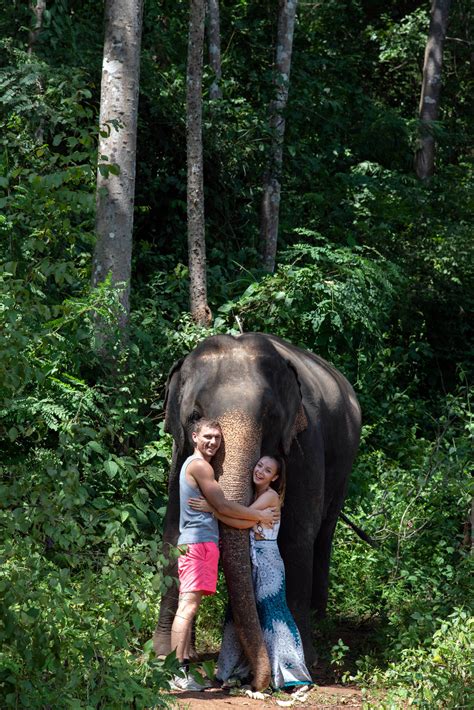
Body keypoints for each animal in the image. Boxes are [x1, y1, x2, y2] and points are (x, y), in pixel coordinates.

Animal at [153, 332, 361, 690]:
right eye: (194, 415)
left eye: (270, 416)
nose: (257, 682)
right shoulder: (180, 452)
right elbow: (172, 528)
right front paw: (165, 656)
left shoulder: (306, 443)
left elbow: (297, 534)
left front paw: (305, 661)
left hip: (345, 462)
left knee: (324, 532)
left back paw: (318, 620)